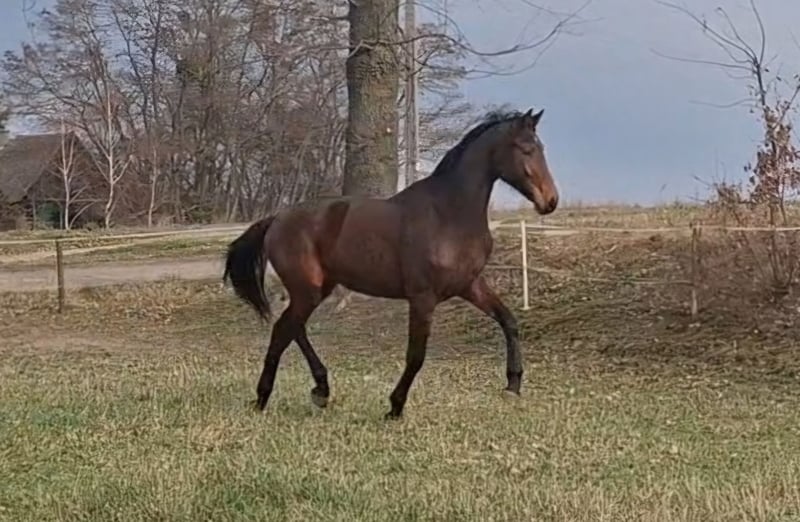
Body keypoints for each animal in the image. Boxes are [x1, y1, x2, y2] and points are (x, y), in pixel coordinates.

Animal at [223, 107, 559, 419]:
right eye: (525, 149)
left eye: (542, 148)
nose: (551, 201)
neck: (449, 214)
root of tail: (277, 218)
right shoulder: (423, 298)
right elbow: (416, 355)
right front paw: (395, 407)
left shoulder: (471, 286)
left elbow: (509, 321)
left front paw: (513, 384)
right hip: (308, 290)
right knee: (284, 330)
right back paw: (264, 397)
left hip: (317, 289)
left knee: (294, 328)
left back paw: (320, 389)